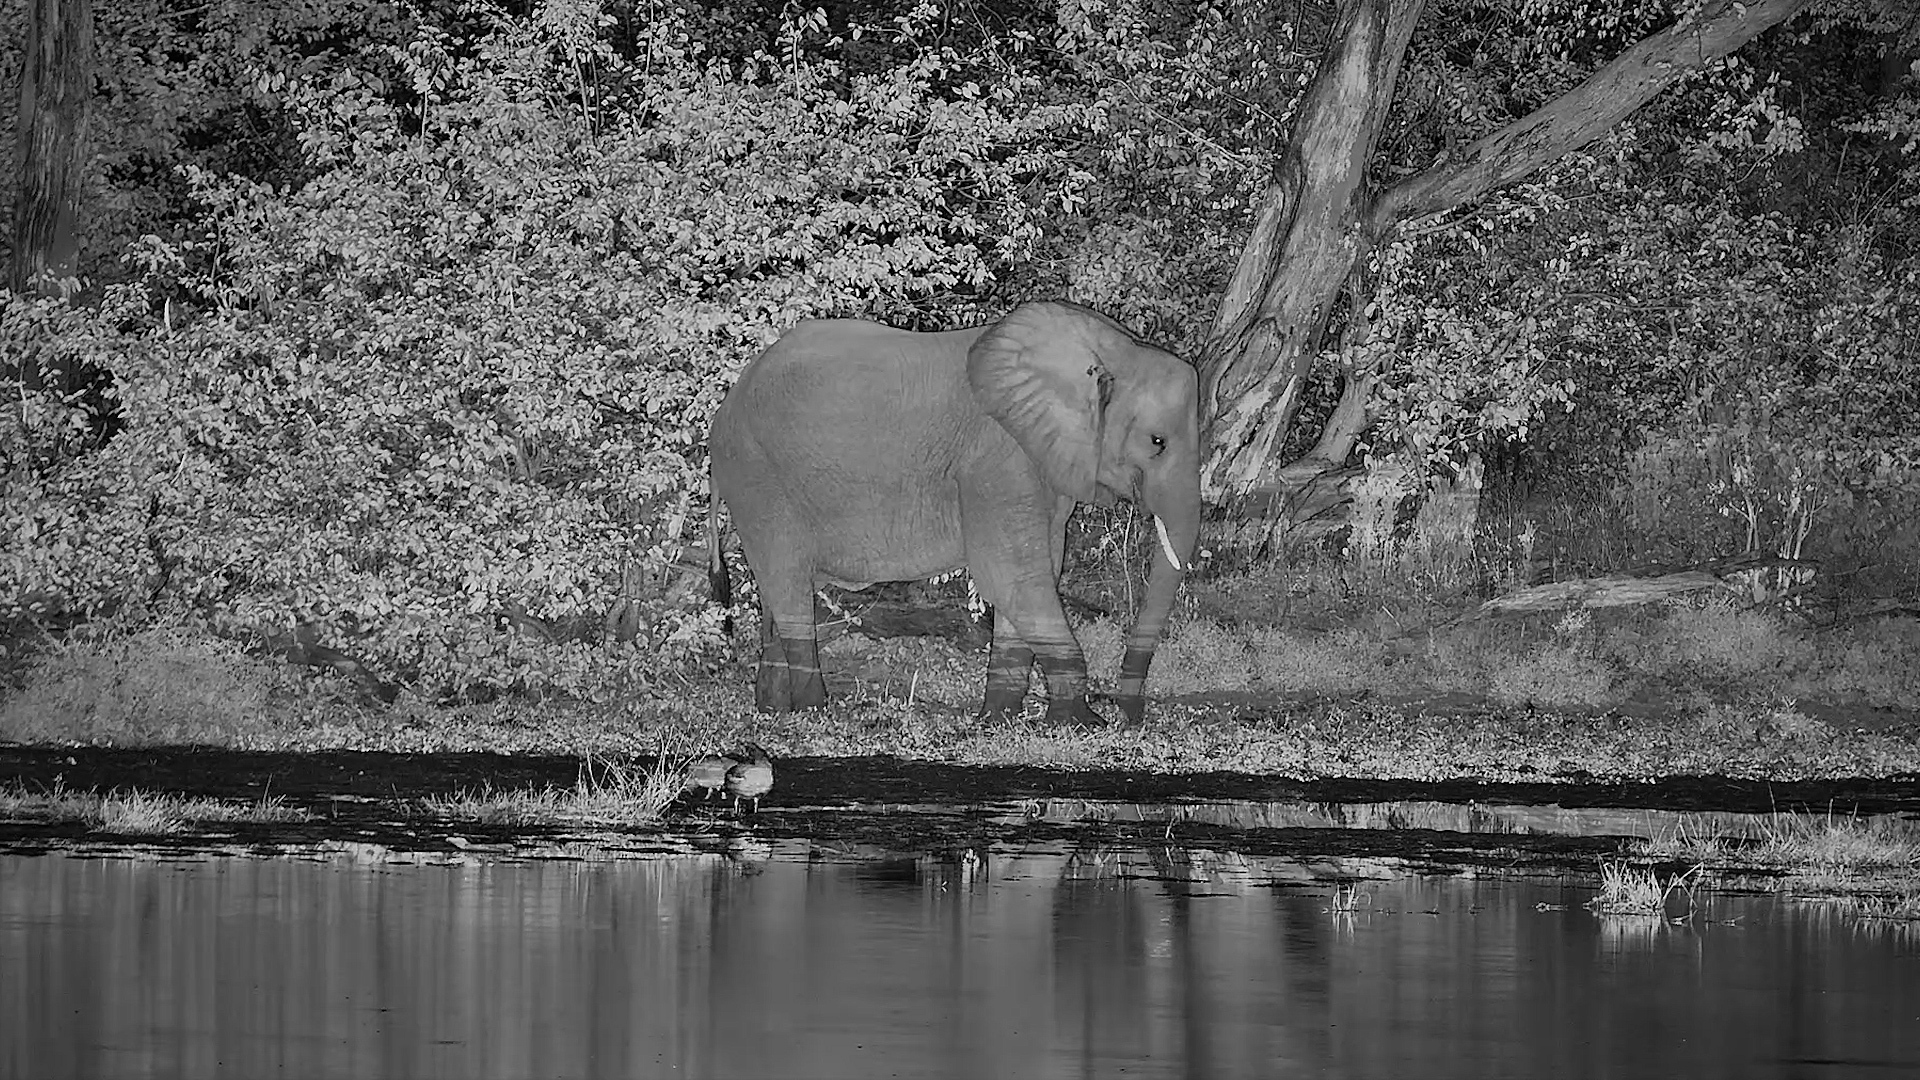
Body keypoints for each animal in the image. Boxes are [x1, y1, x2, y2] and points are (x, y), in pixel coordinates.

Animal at [705, 300, 1201, 726]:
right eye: (1157, 442)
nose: (1129, 715)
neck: (1113, 348)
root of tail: (725, 409)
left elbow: (1039, 570)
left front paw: (998, 720)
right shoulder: (997, 461)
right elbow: (1013, 576)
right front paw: (1080, 723)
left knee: (777, 591)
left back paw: (773, 710)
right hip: (756, 476)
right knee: (788, 585)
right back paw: (813, 712)